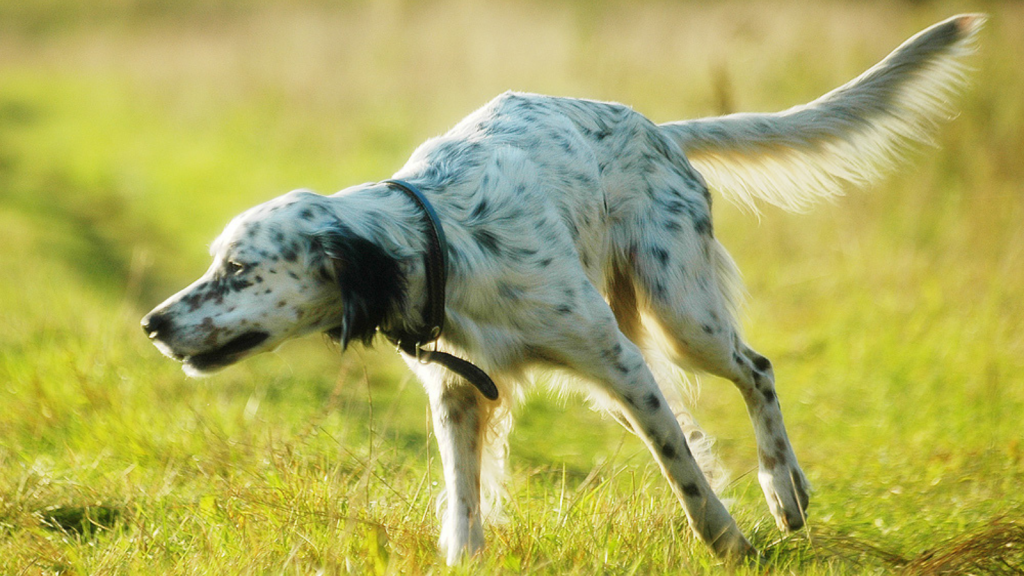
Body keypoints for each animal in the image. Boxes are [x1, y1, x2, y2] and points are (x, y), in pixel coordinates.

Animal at [144, 15, 983, 561]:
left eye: (239, 269)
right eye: (218, 263)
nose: (152, 323)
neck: (443, 242)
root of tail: (659, 131)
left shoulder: (618, 364)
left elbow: (680, 470)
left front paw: (728, 541)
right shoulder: (460, 396)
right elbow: (465, 502)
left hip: (681, 314)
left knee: (757, 371)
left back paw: (786, 488)